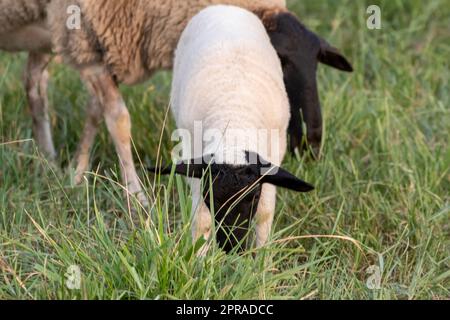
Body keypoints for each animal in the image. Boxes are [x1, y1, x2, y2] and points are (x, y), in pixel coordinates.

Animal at [0, 0, 352, 205]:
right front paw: (137, 197)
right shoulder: (84, 38)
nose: (312, 140)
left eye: (316, 64)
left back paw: (46, 157)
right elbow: (118, 119)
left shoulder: (95, 46)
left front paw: (76, 173)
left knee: (34, 84)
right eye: (278, 61)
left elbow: (93, 114)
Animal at [149, 5, 314, 252]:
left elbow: (265, 214)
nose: (230, 247)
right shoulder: (195, 157)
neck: (234, 119)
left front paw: (262, 258)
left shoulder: (273, 154)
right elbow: (201, 219)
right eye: (211, 197)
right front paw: (198, 257)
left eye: (252, 197)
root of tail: (225, 7)